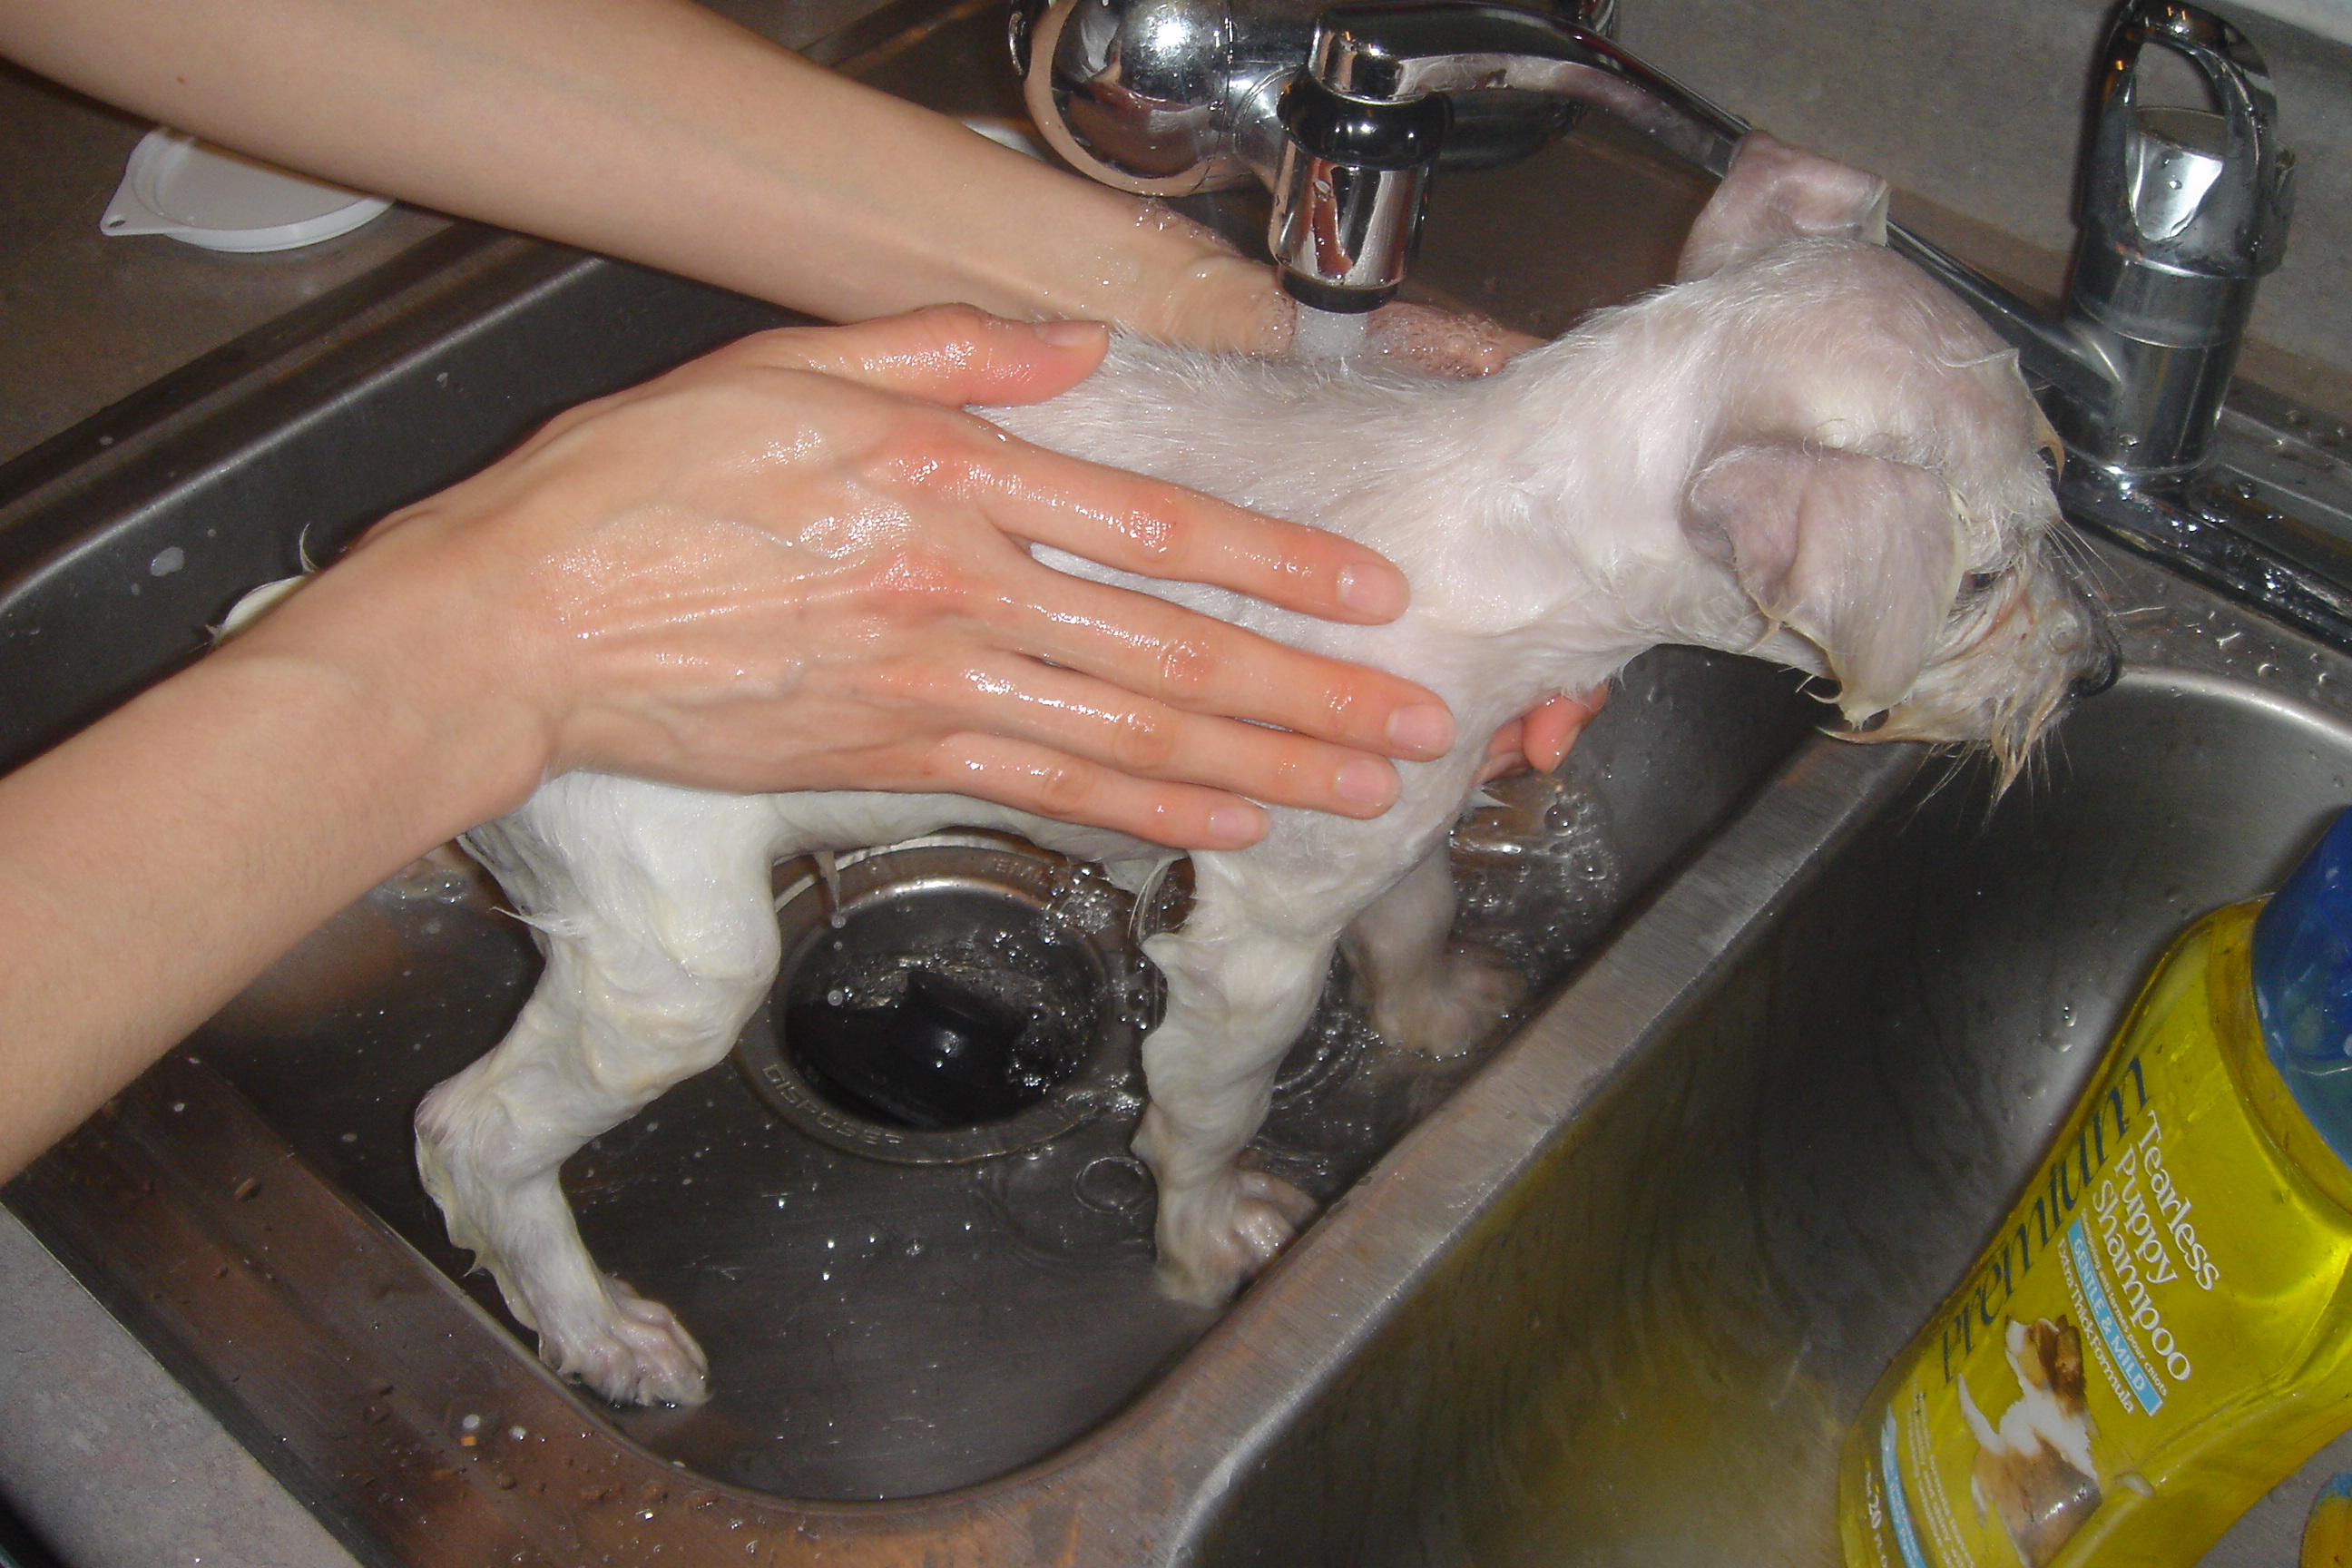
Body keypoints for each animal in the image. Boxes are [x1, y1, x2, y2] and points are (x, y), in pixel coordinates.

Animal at [409, 132, 2114, 1406]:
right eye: (1981, 578)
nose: (2098, 672)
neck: (1506, 514)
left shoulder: (1389, 815)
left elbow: (1417, 915)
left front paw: (1438, 1010)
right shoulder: (1253, 940)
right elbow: (1216, 1102)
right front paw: (1212, 1227)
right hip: (670, 957)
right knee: (468, 1132)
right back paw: (600, 1328)